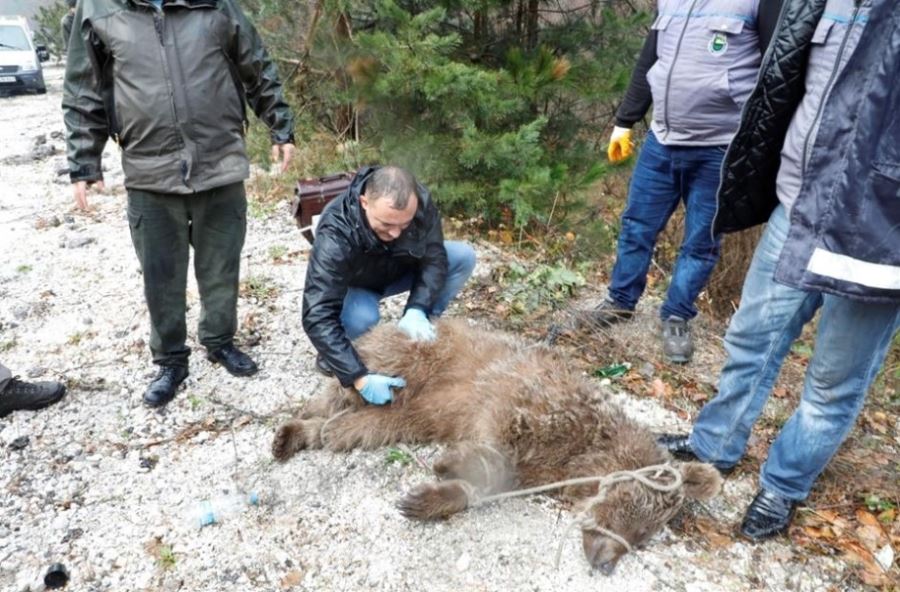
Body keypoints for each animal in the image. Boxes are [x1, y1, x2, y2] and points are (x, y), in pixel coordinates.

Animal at [270, 320, 720, 572]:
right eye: (640, 524)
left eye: (643, 539)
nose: (607, 563)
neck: (585, 457)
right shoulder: (525, 406)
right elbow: (496, 445)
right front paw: (449, 465)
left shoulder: (539, 465)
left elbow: (489, 481)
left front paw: (431, 496)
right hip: (414, 357)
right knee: (347, 388)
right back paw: (300, 420)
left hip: (409, 414)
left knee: (359, 425)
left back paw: (302, 433)